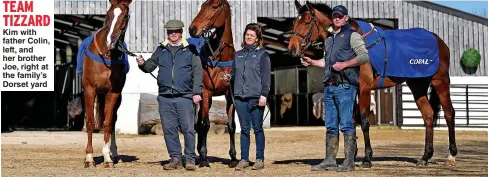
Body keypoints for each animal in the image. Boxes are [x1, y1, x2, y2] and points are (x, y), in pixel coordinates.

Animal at [79, 0, 132, 168]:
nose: (111, 41)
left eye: (125, 16)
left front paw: (107, 158)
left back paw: (113, 154)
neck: (107, 56)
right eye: (108, 14)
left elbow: (108, 123)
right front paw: (89, 158)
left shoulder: (113, 93)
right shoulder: (89, 90)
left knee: (113, 122)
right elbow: (90, 122)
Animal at [188, 0, 239, 168]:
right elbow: (205, 124)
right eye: (202, 5)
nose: (192, 29)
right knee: (196, 123)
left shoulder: (230, 95)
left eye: (214, 6)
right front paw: (204, 158)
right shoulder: (206, 92)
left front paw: (234, 157)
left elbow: (231, 125)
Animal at [288, 0, 456, 168]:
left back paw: (451, 155)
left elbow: (364, 121)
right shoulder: (353, 89)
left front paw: (367, 158)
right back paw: (425, 157)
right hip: (417, 85)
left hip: (440, 82)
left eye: (307, 21)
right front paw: (352, 154)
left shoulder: (365, 88)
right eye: (295, 22)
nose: (292, 49)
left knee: (449, 113)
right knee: (428, 115)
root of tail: (439, 41)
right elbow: (351, 120)